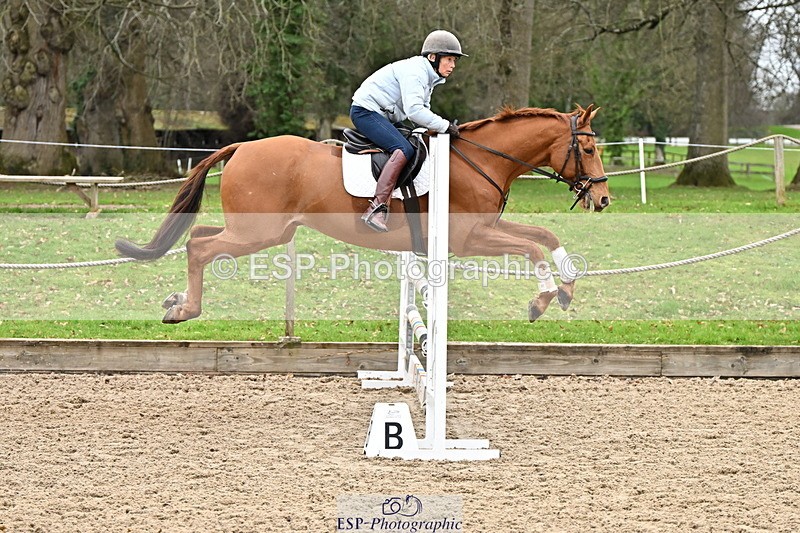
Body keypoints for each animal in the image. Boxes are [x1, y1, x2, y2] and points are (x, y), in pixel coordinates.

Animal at [115, 104, 611, 323]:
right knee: (199, 249)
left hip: (260, 229)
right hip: (258, 233)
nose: (604, 199)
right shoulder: (469, 239)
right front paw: (542, 299)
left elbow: (544, 235)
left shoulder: (487, 228)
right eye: (587, 149)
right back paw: (186, 310)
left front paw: (567, 288)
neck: (482, 159)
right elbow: (531, 248)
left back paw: (177, 300)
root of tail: (241, 147)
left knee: (198, 236)